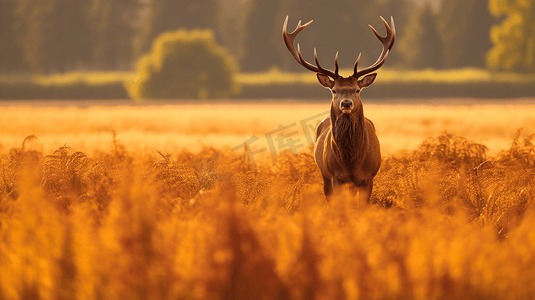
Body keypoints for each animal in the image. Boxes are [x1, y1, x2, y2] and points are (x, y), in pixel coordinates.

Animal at [282, 15, 396, 204]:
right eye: (334, 90)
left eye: (357, 90)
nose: (346, 103)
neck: (352, 164)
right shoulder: (336, 177)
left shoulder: (369, 177)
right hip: (325, 176)